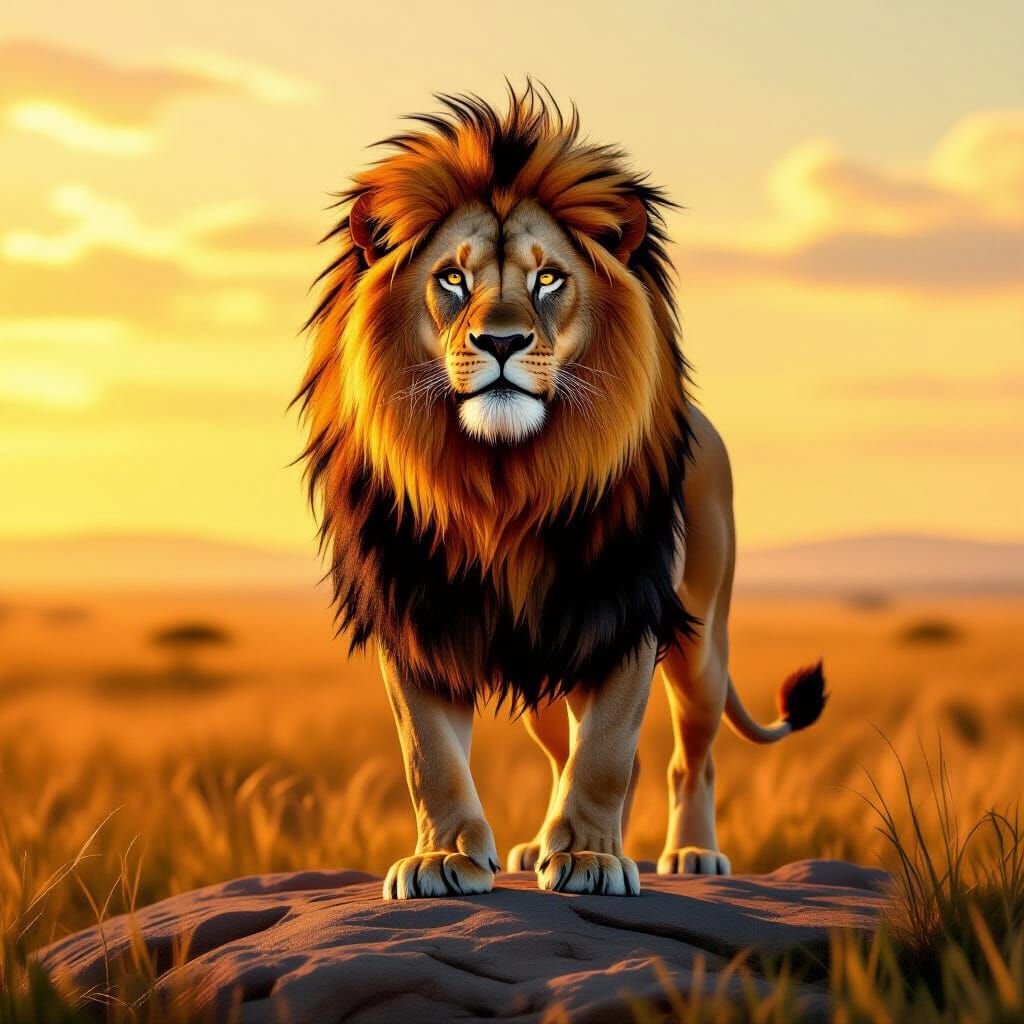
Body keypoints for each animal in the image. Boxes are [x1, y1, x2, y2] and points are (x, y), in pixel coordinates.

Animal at [296, 85, 826, 900]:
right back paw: (534, 846)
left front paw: (590, 860)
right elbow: (430, 756)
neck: (503, 481)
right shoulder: (416, 614)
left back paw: (690, 853)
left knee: (688, 758)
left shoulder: (624, 611)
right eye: (452, 278)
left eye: (548, 279)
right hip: (544, 676)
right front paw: (444, 859)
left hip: (701, 641)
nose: (501, 342)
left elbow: (606, 750)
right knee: (567, 752)